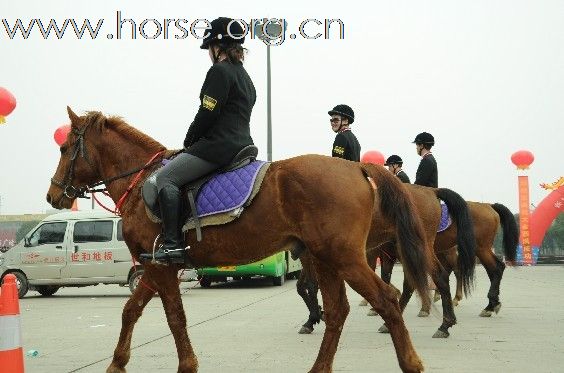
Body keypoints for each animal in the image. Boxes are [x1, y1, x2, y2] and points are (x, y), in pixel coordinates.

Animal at [48, 107, 434, 372]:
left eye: (65, 148)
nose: (53, 195)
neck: (144, 181)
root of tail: (357, 167)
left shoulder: (160, 266)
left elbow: (174, 317)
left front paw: (186, 365)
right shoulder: (153, 264)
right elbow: (131, 310)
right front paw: (117, 363)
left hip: (344, 257)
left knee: (386, 298)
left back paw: (411, 362)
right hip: (326, 259)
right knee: (338, 311)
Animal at [296, 183, 476, 338]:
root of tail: (431, 191)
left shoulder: (309, 254)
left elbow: (311, 286)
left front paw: (314, 318)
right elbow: (302, 287)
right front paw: (316, 316)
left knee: (440, 276)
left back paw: (444, 325)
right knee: (412, 282)